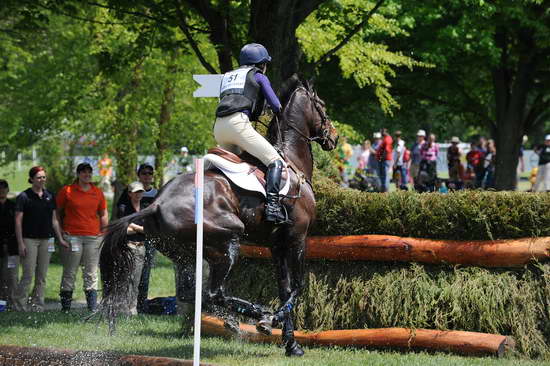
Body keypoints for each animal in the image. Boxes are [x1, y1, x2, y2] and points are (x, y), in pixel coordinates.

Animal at [100, 75, 340, 358]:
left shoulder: (277, 245)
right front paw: (273, 321)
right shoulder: (297, 238)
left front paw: (291, 344)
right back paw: (257, 314)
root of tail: (156, 203)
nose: (334, 137)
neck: (292, 160)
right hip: (227, 243)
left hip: (186, 253)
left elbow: (285, 289)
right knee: (212, 292)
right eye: (322, 105)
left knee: (196, 293)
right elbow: (298, 287)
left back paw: (238, 320)